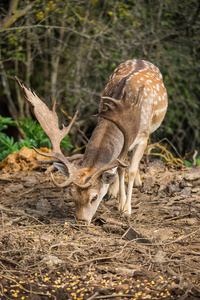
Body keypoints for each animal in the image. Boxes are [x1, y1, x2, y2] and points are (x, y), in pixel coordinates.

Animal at [15, 58, 167, 224]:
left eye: (94, 197)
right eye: (72, 194)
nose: (81, 221)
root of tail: (140, 59)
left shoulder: (142, 137)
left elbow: (131, 171)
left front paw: (127, 210)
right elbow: (120, 168)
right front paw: (118, 202)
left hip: (151, 127)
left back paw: (138, 184)